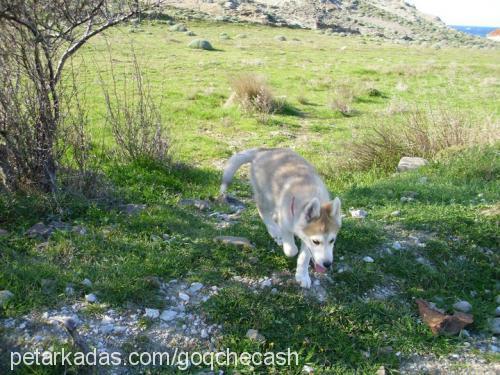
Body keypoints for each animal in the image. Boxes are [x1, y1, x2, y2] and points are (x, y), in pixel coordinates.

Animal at [221, 148, 342, 288]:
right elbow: (292, 249)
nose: (327, 264)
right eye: (316, 241)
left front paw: (302, 275)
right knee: (263, 211)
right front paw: (287, 244)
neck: (308, 195)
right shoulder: (287, 225)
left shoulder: (305, 237)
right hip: (265, 197)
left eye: (332, 240)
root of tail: (262, 151)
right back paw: (275, 232)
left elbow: (304, 257)